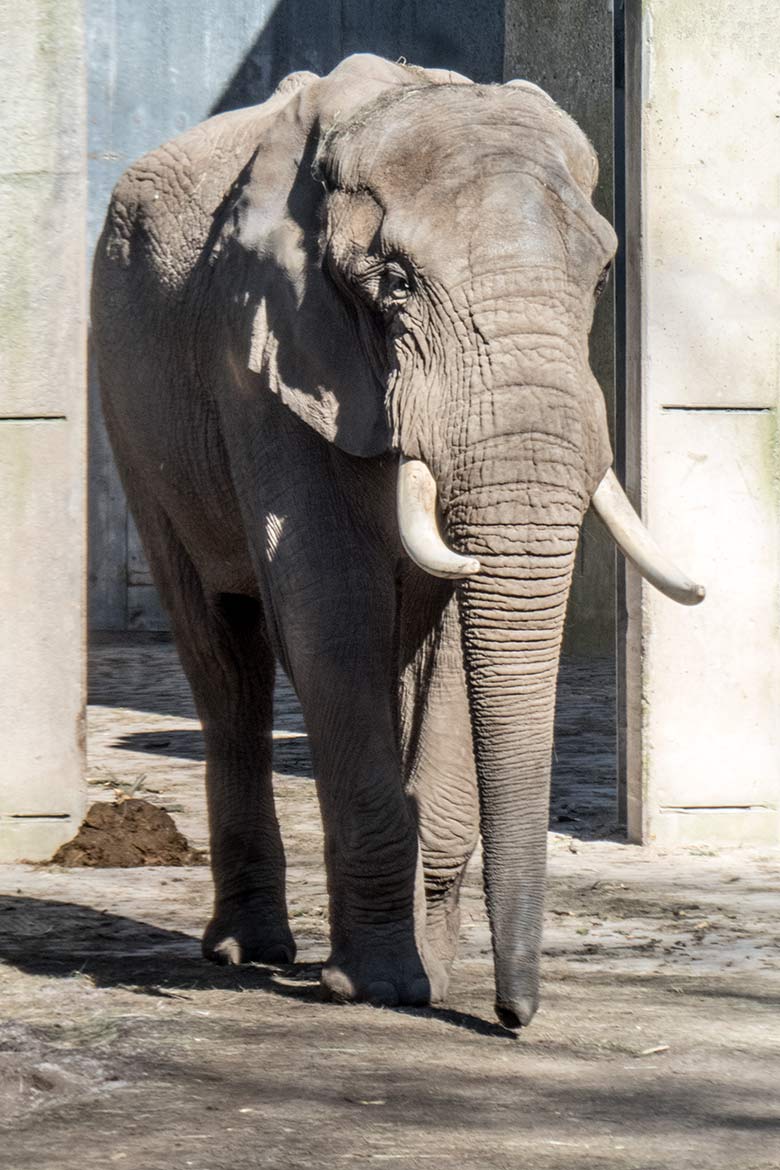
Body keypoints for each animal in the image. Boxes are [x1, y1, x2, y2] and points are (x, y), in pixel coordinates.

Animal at [92, 54, 706, 1029]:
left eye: (604, 278)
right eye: (395, 286)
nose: (512, 1018)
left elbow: (451, 633)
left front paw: (431, 983)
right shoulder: (258, 355)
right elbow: (330, 610)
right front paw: (378, 988)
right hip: (131, 397)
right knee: (224, 655)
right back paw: (247, 952)